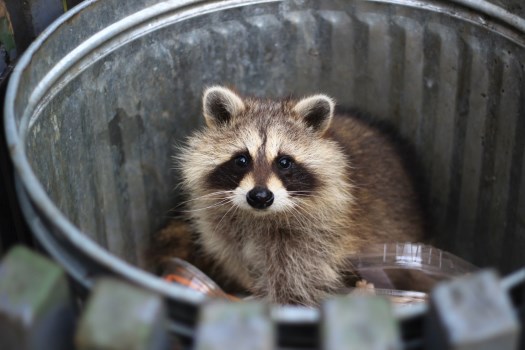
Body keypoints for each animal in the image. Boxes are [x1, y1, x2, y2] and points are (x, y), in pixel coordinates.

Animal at [154, 86, 424, 304]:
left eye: (284, 162)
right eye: (241, 160)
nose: (260, 196)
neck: (259, 217)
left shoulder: (316, 239)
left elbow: (295, 286)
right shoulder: (223, 231)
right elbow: (236, 259)